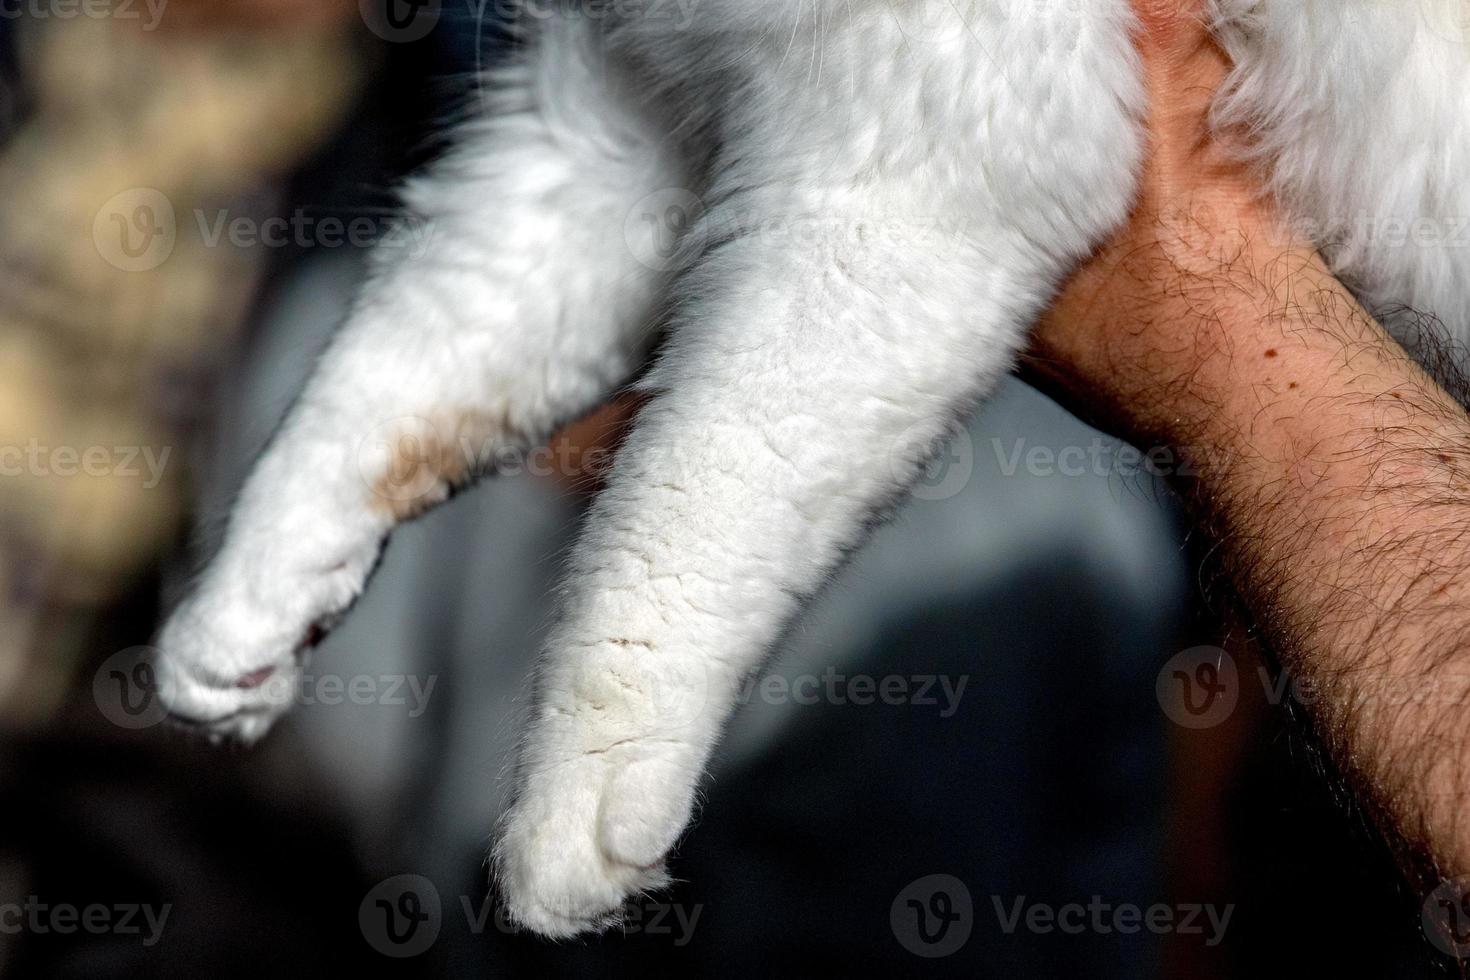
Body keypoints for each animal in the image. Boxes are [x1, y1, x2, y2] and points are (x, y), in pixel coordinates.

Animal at [155, 0, 1470, 934]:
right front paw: (242, 610)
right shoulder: (600, 130)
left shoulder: (889, 196)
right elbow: (392, 370)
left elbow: (671, 531)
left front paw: (573, 813)